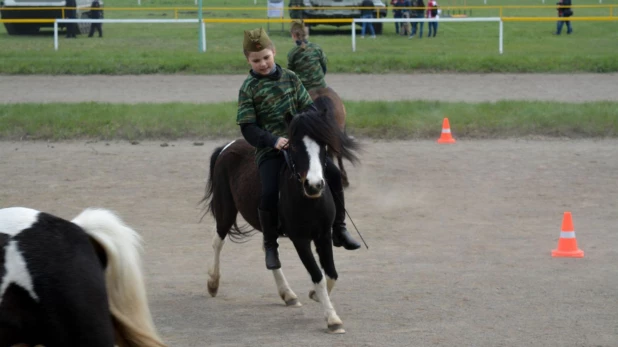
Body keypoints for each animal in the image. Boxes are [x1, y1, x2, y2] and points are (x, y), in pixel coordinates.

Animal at [200, 96, 358, 334]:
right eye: (294, 145)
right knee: (218, 240)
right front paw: (332, 319)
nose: (314, 185)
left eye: (323, 144)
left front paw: (315, 296)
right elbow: (317, 275)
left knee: (269, 250)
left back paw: (288, 294)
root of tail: (227, 147)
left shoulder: (323, 235)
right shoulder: (300, 240)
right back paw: (213, 283)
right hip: (225, 209)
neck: (308, 199)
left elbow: (330, 273)